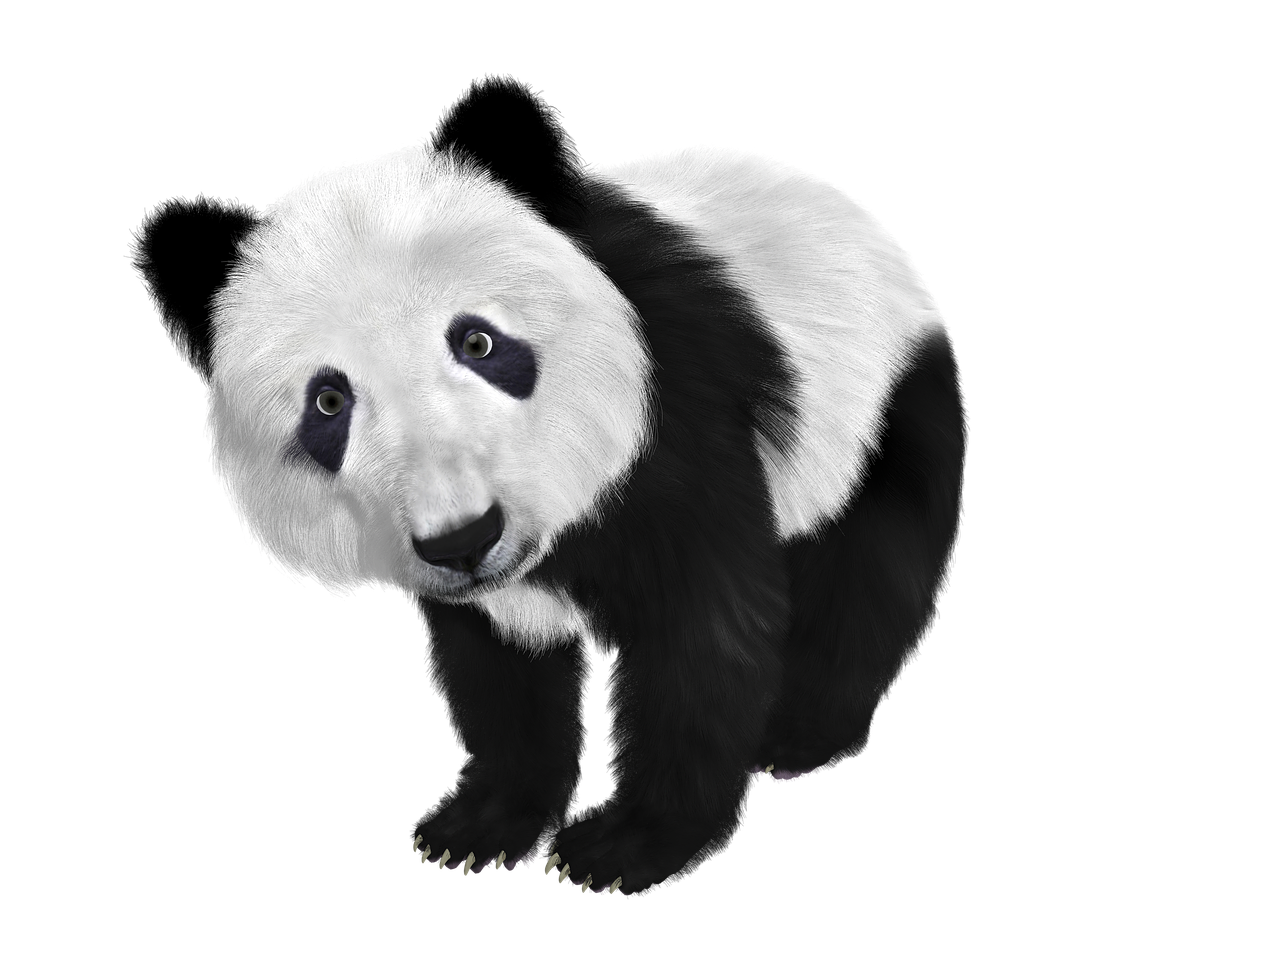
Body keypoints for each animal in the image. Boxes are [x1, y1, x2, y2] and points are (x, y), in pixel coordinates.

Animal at [202, 139, 967, 897]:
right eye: (328, 402)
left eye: (477, 343)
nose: (464, 540)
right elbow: (499, 671)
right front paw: (481, 829)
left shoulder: (678, 415)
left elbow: (696, 637)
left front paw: (628, 845)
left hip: (885, 404)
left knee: (869, 571)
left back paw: (799, 736)